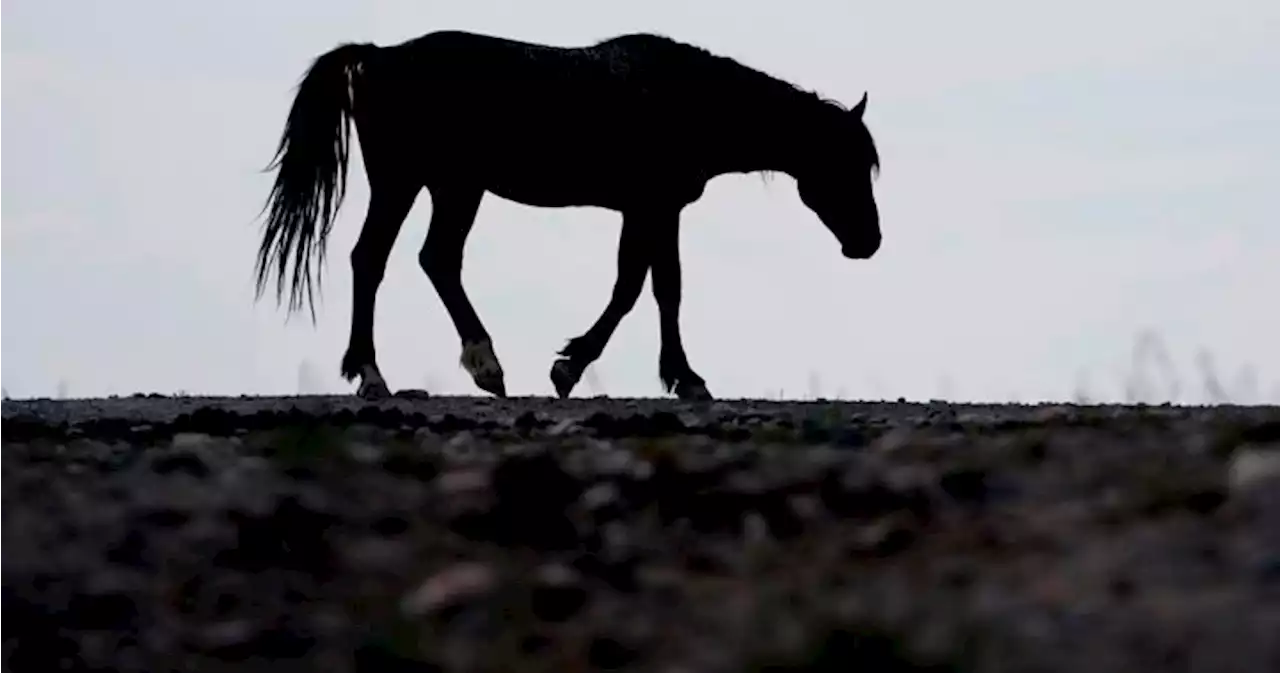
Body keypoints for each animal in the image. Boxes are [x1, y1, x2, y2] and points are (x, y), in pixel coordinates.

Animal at [254, 30, 885, 401]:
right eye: (845, 163)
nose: (869, 242)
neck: (685, 98)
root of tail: (378, 56)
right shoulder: (652, 207)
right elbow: (643, 289)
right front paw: (587, 368)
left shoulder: (652, 211)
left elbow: (654, 287)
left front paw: (665, 373)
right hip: (410, 184)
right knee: (378, 260)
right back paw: (386, 373)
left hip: (449, 188)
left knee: (431, 260)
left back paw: (470, 367)